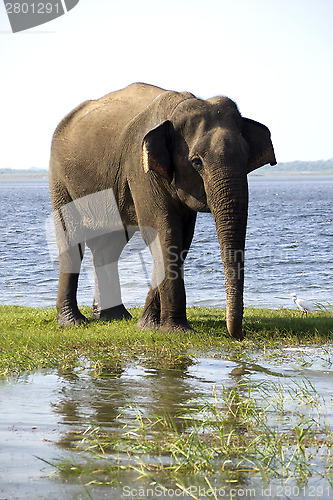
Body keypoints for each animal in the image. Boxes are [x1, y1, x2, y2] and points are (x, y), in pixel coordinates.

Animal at [48, 83, 274, 340]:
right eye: (196, 162)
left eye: (247, 158)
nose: (239, 333)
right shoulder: (141, 169)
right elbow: (164, 232)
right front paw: (176, 330)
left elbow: (181, 240)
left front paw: (148, 325)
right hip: (60, 177)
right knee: (72, 240)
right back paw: (72, 322)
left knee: (109, 246)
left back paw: (114, 317)